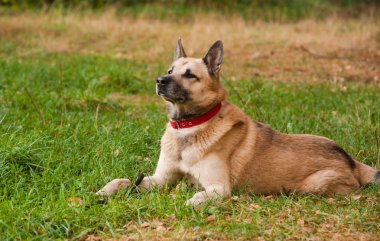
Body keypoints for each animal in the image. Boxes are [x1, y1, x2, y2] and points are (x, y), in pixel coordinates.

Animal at [96, 39, 378, 205]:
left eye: (189, 75)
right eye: (170, 71)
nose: (160, 81)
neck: (191, 127)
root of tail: (352, 162)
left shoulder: (218, 188)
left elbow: (196, 198)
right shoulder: (160, 179)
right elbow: (123, 181)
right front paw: (105, 191)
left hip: (311, 186)